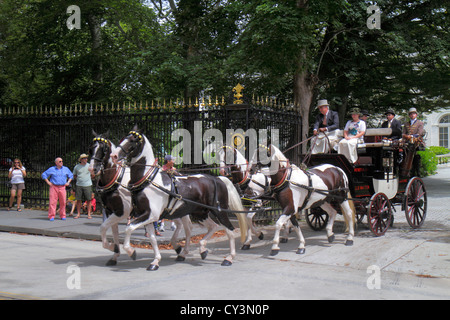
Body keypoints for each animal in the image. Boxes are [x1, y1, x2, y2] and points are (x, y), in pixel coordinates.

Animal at [110, 126, 248, 272]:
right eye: (123, 138)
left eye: (133, 140)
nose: (114, 156)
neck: (148, 180)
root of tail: (218, 179)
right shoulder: (145, 215)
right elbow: (152, 238)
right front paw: (155, 261)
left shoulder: (151, 215)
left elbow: (129, 228)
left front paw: (131, 251)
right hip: (200, 213)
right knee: (213, 226)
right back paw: (201, 249)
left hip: (219, 211)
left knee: (230, 230)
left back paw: (229, 258)